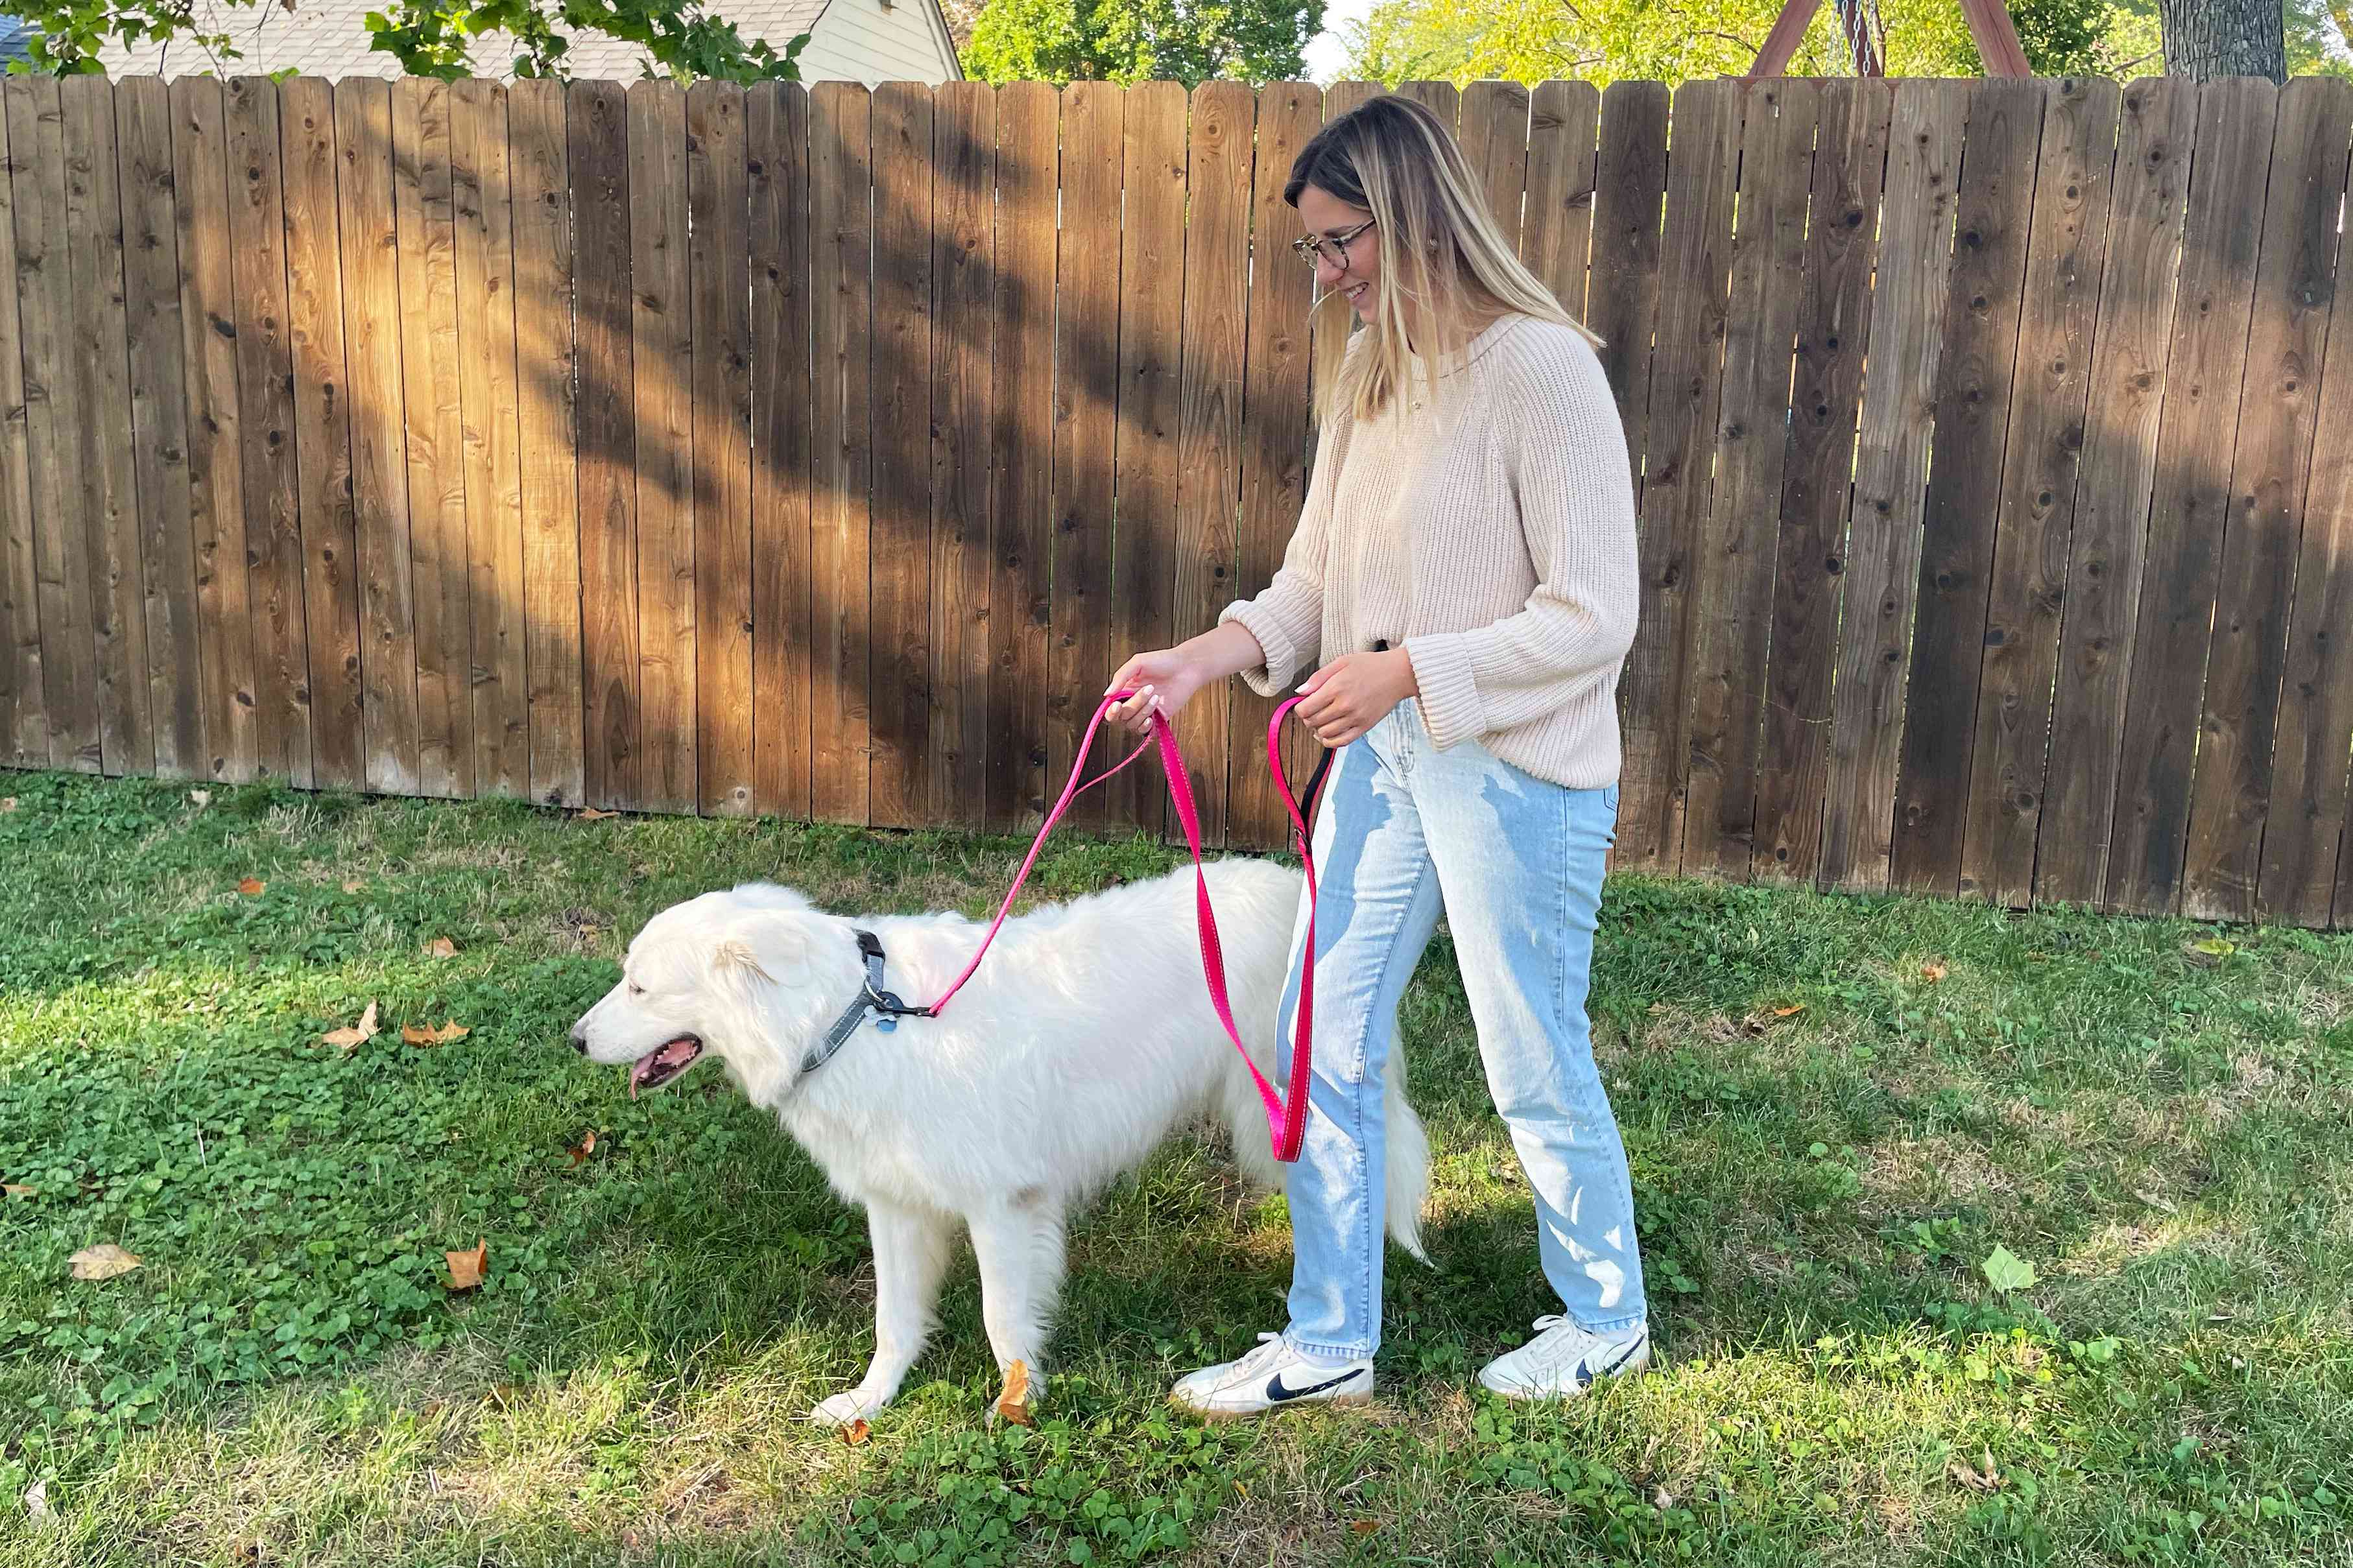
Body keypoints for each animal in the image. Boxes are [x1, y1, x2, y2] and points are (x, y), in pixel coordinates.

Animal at [564, 861, 1430, 1421]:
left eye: (640, 987)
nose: (573, 1040)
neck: (856, 1017)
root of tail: (1297, 885)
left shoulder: (1001, 1211)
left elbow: (1001, 1321)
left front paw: (1016, 1411)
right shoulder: (898, 1209)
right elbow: (893, 1321)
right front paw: (870, 1403)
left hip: (1280, 1115)